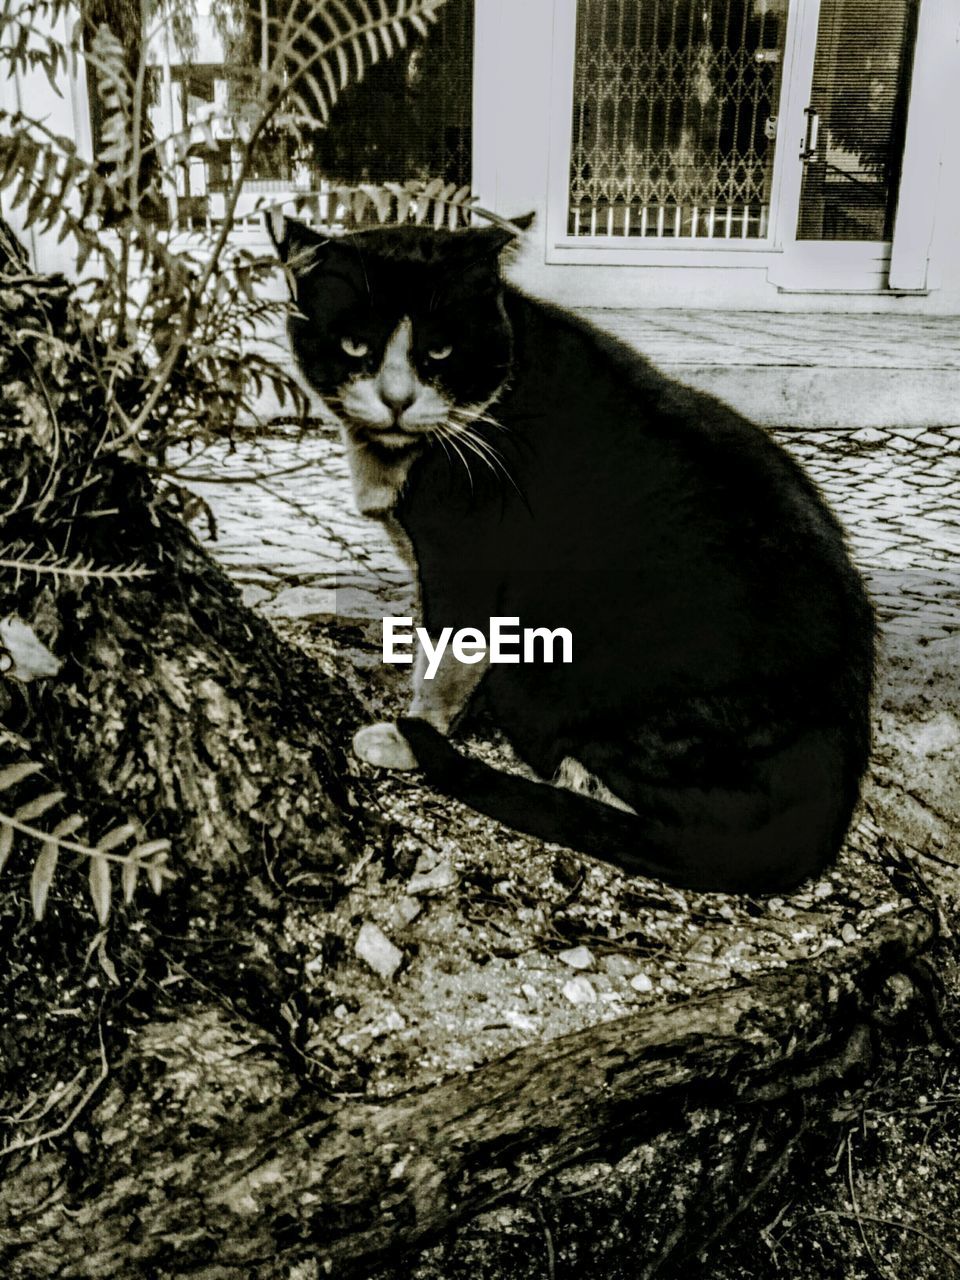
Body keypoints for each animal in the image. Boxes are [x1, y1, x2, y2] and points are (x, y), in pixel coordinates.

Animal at [273, 217, 875, 890]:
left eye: (441, 352)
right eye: (356, 347)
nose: (398, 399)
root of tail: (839, 758)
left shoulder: (466, 562)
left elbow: (445, 656)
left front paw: (413, 734)